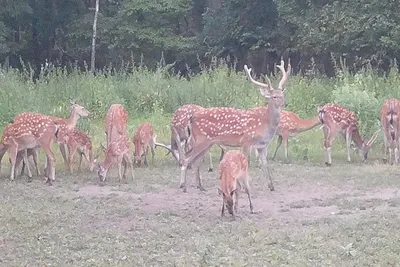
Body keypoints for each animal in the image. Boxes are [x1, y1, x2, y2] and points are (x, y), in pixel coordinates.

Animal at [180, 59, 292, 193]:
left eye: (282, 95)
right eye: (274, 96)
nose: (285, 103)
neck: (265, 124)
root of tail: (191, 118)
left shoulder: (262, 145)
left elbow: (265, 164)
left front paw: (271, 186)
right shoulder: (246, 141)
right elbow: (245, 163)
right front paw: (244, 187)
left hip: (207, 142)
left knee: (196, 161)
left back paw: (200, 186)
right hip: (201, 139)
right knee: (187, 157)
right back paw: (183, 186)